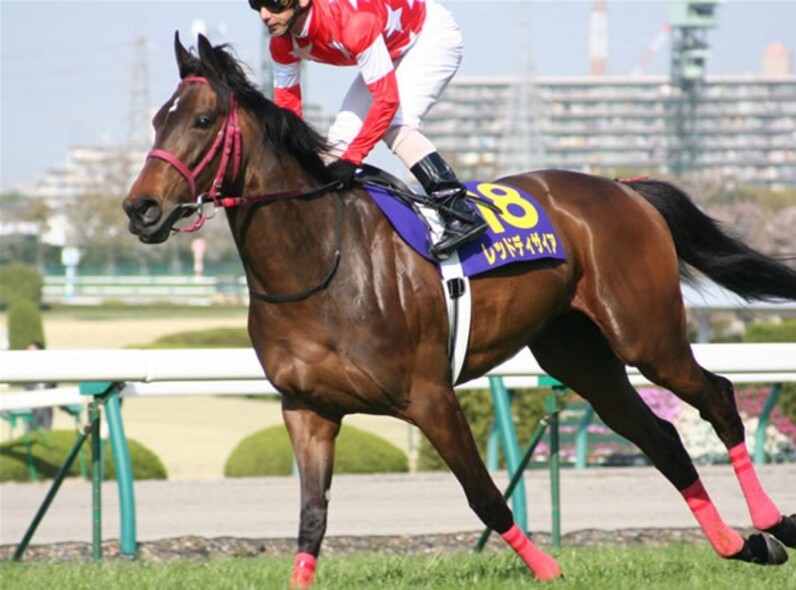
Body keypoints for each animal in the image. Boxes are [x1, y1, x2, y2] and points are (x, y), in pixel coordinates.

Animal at [124, 33, 796, 587]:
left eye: (203, 120)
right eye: (156, 121)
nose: (140, 209)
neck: (320, 264)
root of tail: (623, 188)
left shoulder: (431, 396)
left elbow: (484, 495)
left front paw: (548, 568)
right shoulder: (306, 410)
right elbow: (312, 518)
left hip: (647, 337)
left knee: (717, 398)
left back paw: (773, 523)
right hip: (579, 353)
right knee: (660, 437)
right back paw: (740, 544)